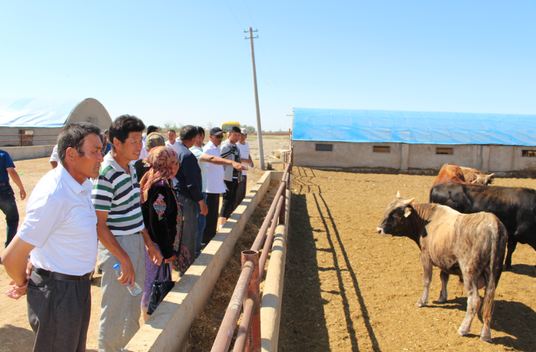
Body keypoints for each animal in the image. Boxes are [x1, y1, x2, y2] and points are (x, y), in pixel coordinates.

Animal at [376, 191, 506, 342]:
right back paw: (485, 333)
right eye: (387, 210)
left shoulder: (425, 256)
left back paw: (464, 329)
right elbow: (444, 277)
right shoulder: (445, 260)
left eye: (395, 214)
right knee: (488, 301)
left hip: (469, 272)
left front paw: (422, 301)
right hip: (494, 273)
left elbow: (427, 280)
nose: (379, 229)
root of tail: (492, 224)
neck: (426, 220)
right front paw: (443, 297)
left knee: (475, 300)